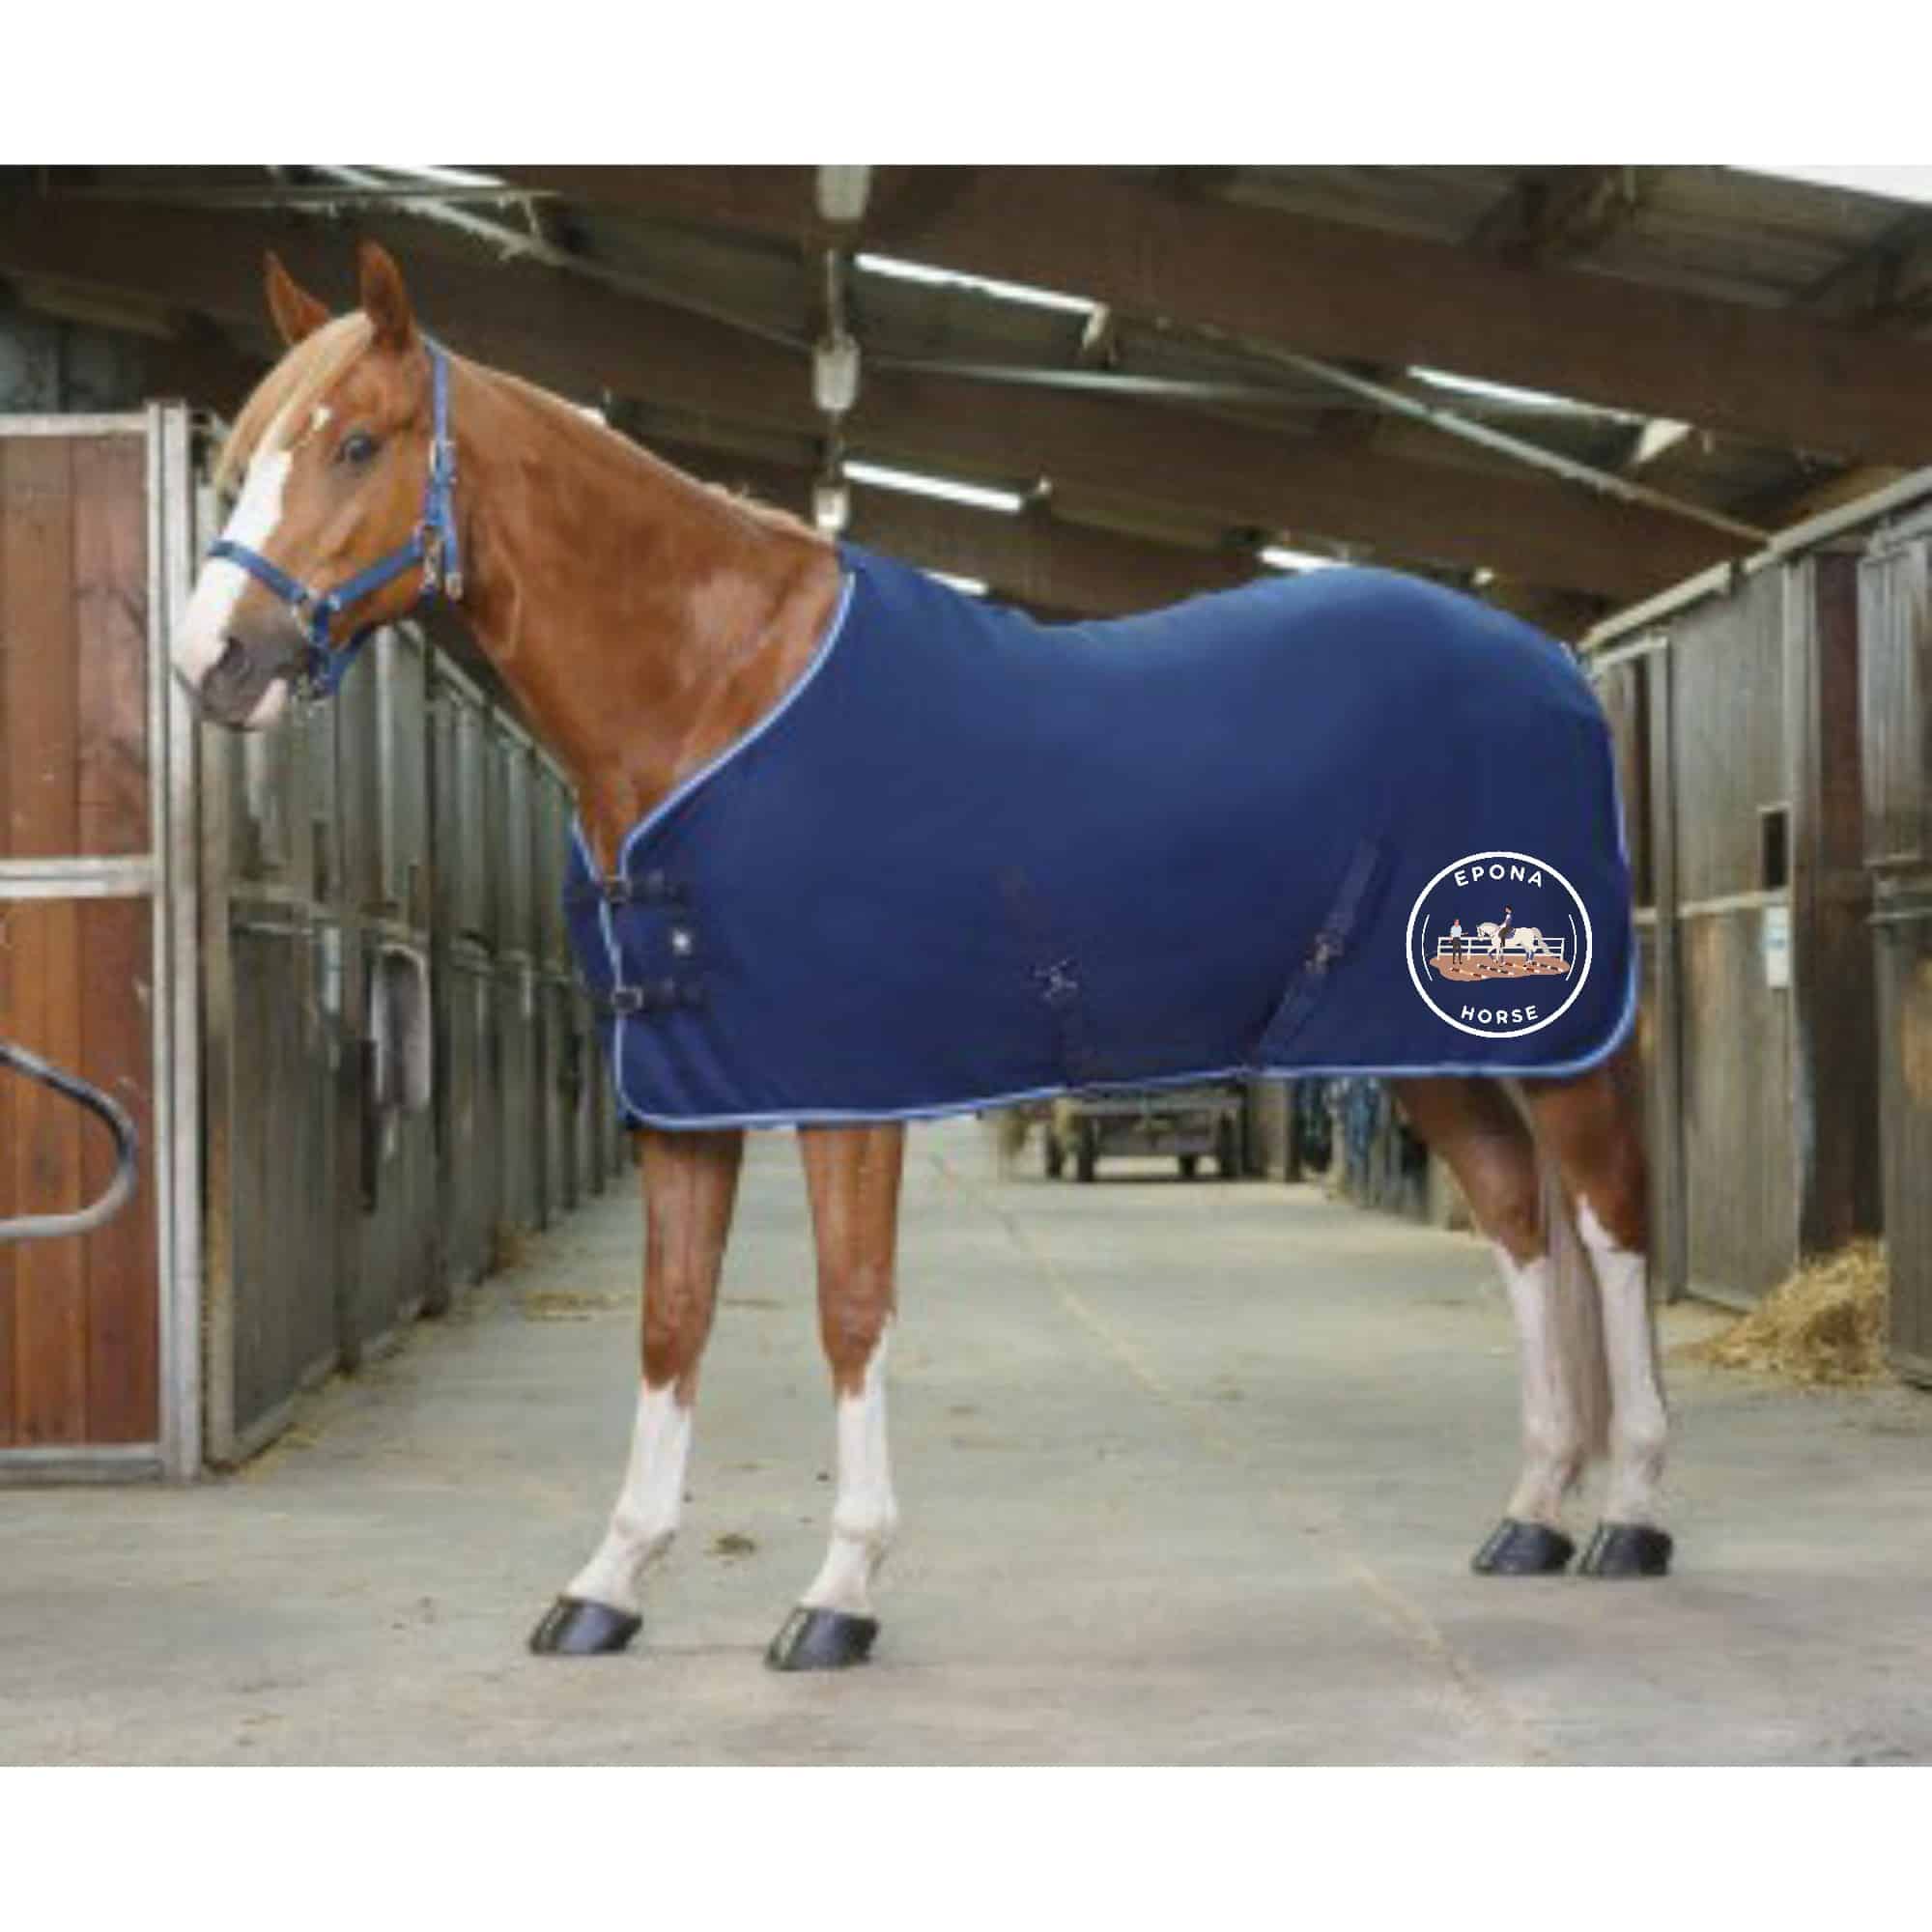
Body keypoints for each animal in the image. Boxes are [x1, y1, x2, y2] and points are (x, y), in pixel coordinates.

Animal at [172, 243, 1670, 1671]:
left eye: (357, 443)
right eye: (242, 458)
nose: (212, 661)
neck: (713, 689)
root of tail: (1552, 661)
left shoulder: (849, 1092)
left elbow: (849, 1312)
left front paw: (837, 1594)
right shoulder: (683, 1097)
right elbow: (669, 1321)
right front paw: (607, 1583)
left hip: (1550, 1034)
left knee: (1606, 1225)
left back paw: (1631, 1517)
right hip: (1412, 1043)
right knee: (1517, 1222)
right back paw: (1531, 1515)